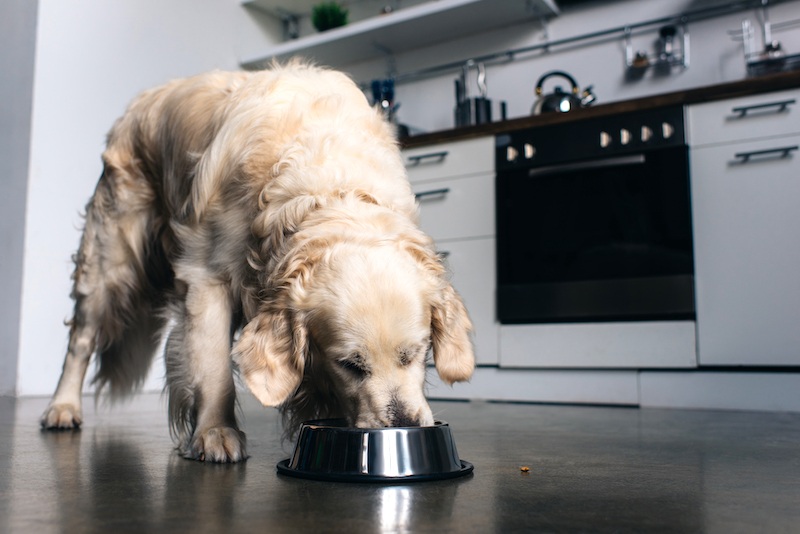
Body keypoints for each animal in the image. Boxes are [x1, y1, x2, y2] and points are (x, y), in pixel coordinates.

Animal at [42, 62, 476, 462]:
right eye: (349, 364)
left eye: (416, 354)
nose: (405, 425)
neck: (329, 187)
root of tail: (139, 104)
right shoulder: (206, 278)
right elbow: (214, 365)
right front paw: (215, 433)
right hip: (109, 260)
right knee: (81, 339)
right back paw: (62, 408)